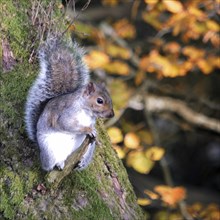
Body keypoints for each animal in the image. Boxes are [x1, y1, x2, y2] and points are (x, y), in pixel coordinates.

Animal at [24, 35, 114, 171]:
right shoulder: (67, 112)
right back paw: (58, 164)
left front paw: (95, 134)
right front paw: (88, 129)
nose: (112, 114)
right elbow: (65, 124)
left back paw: (81, 162)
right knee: (48, 166)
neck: (86, 111)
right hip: (49, 150)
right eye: (100, 101)